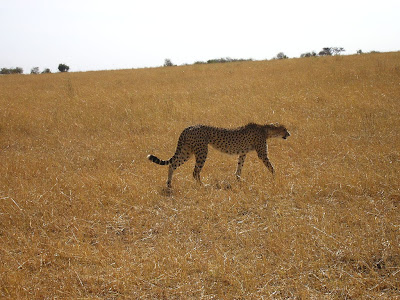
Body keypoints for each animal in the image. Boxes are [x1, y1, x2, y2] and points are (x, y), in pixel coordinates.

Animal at [148, 122, 290, 188]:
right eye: (284, 129)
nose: (289, 134)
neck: (266, 130)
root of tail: (189, 127)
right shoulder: (262, 154)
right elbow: (270, 166)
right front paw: (275, 177)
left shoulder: (242, 153)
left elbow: (239, 166)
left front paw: (239, 179)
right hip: (202, 152)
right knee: (195, 172)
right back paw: (203, 186)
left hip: (187, 151)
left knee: (172, 165)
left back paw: (169, 185)